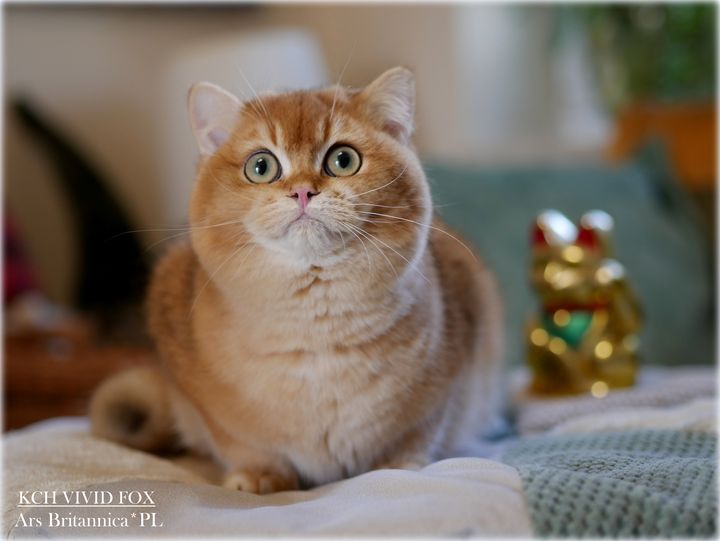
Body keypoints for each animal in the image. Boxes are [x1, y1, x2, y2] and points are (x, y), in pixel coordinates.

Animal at [90, 67, 503, 494]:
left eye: (343, 159)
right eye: (261, 167)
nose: (303, 191)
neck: (314, 331)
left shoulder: (446, 385)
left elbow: (413, 436)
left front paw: (396, 468)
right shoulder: (208, 404)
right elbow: (243, 443)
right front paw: (261, 476)